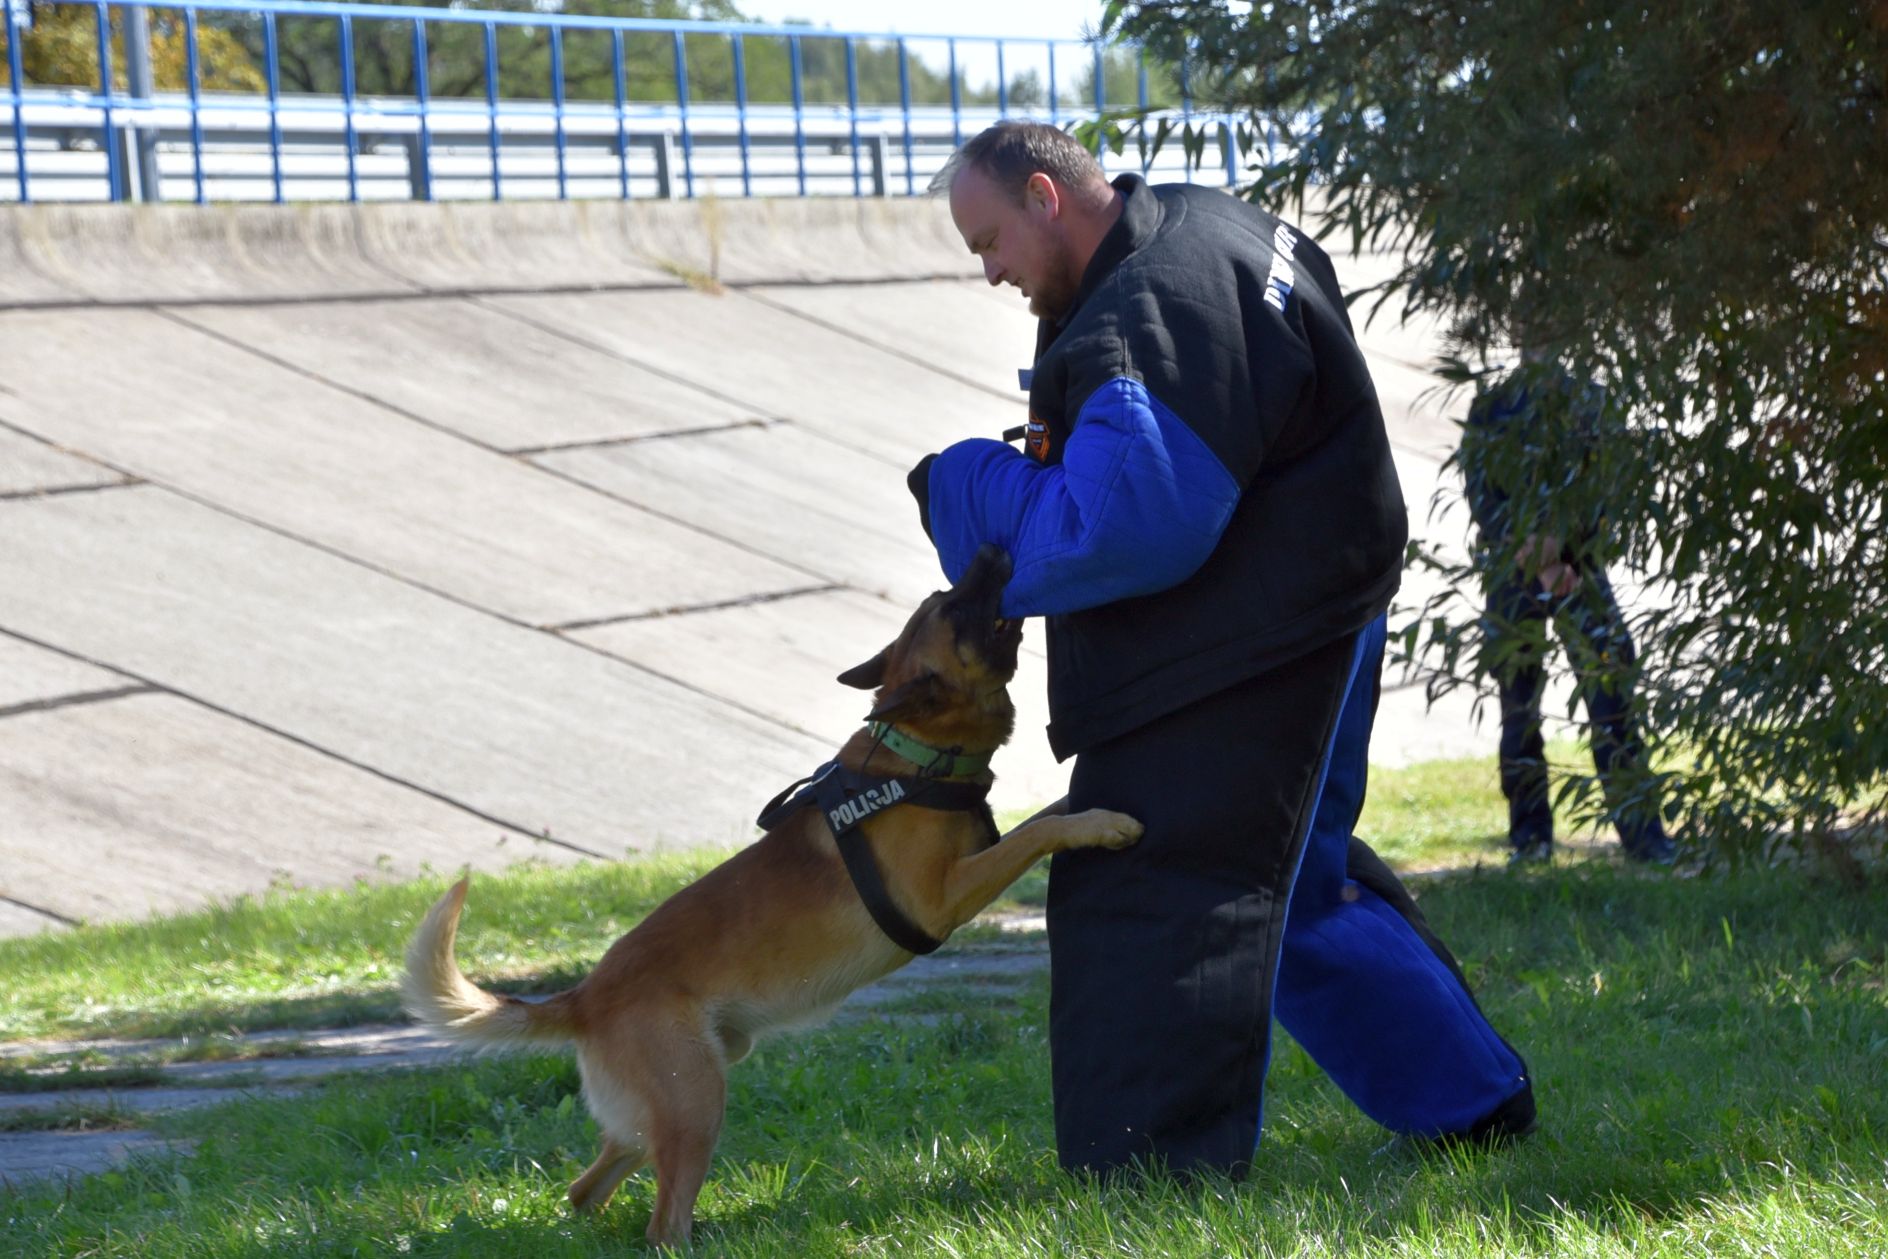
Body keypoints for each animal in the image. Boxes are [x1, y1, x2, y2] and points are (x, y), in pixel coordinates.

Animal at [403, 545, 1143, 1246]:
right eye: (955, 606)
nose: (989, 549)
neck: (915, 756)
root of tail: (584, 996)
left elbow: (1046, 809)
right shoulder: (944, 897)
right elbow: (1037, 829)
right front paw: (1101, 824)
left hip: (675, 1099)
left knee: (587, 1188)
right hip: (698, 1101)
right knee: (662, 1225)